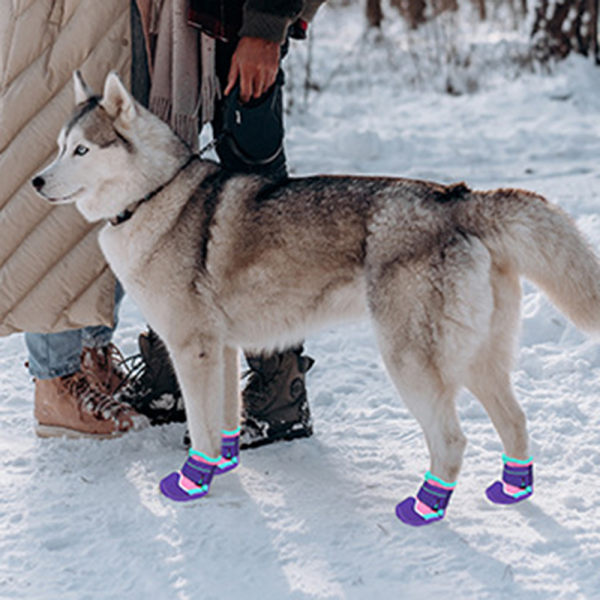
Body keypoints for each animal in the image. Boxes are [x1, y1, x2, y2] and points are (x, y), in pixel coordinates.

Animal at [32, 71, 600, 524]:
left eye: (82, 150)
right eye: (58, 146)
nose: (36, 181)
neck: (155, 194)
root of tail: (458, 198)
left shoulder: (192, 349)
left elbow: (200, 423)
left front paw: (193, 481)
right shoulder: (224, 348)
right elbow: (224, 417)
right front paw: (222, 465)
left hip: (412, 363)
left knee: (452, 440)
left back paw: (425, 508)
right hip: (477, 357)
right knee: (516, 420)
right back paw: (511, 489)